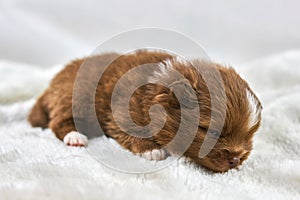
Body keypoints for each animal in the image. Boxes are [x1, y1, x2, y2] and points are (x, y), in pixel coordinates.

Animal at [28, 50, 262, 173]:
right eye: (213, 132)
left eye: (249, 137)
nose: (235, 160)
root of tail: (51, 86)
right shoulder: (123, 110)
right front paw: (151, 150)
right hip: (74, 100)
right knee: (58, 122)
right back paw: (75, 137)